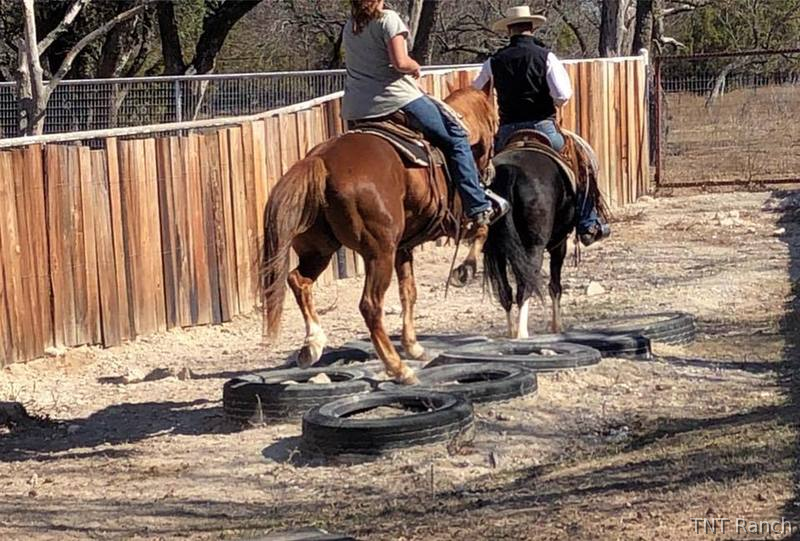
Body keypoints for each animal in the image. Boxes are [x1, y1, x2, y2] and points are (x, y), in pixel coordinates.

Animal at [260, 85, 497, 384]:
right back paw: (398, 369)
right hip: (378, 253)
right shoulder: (456, 221)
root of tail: (321, 161)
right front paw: (464, 271)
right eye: (497, 120)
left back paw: (312, 346)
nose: (490, 171)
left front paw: (414, 346)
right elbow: (482, 229)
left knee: (298, 280)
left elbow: (409, 292)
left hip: (320, 251)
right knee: (370, 306)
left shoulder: (403, 248)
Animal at [483, 135, 608, 338]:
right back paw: (522, 333)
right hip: (534, 247)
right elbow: (555, 286)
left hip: (496, 251)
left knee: (505, 291)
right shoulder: (559, 244)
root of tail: (509, 171)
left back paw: (512, 332)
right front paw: (557, 326)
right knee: (525, 286)